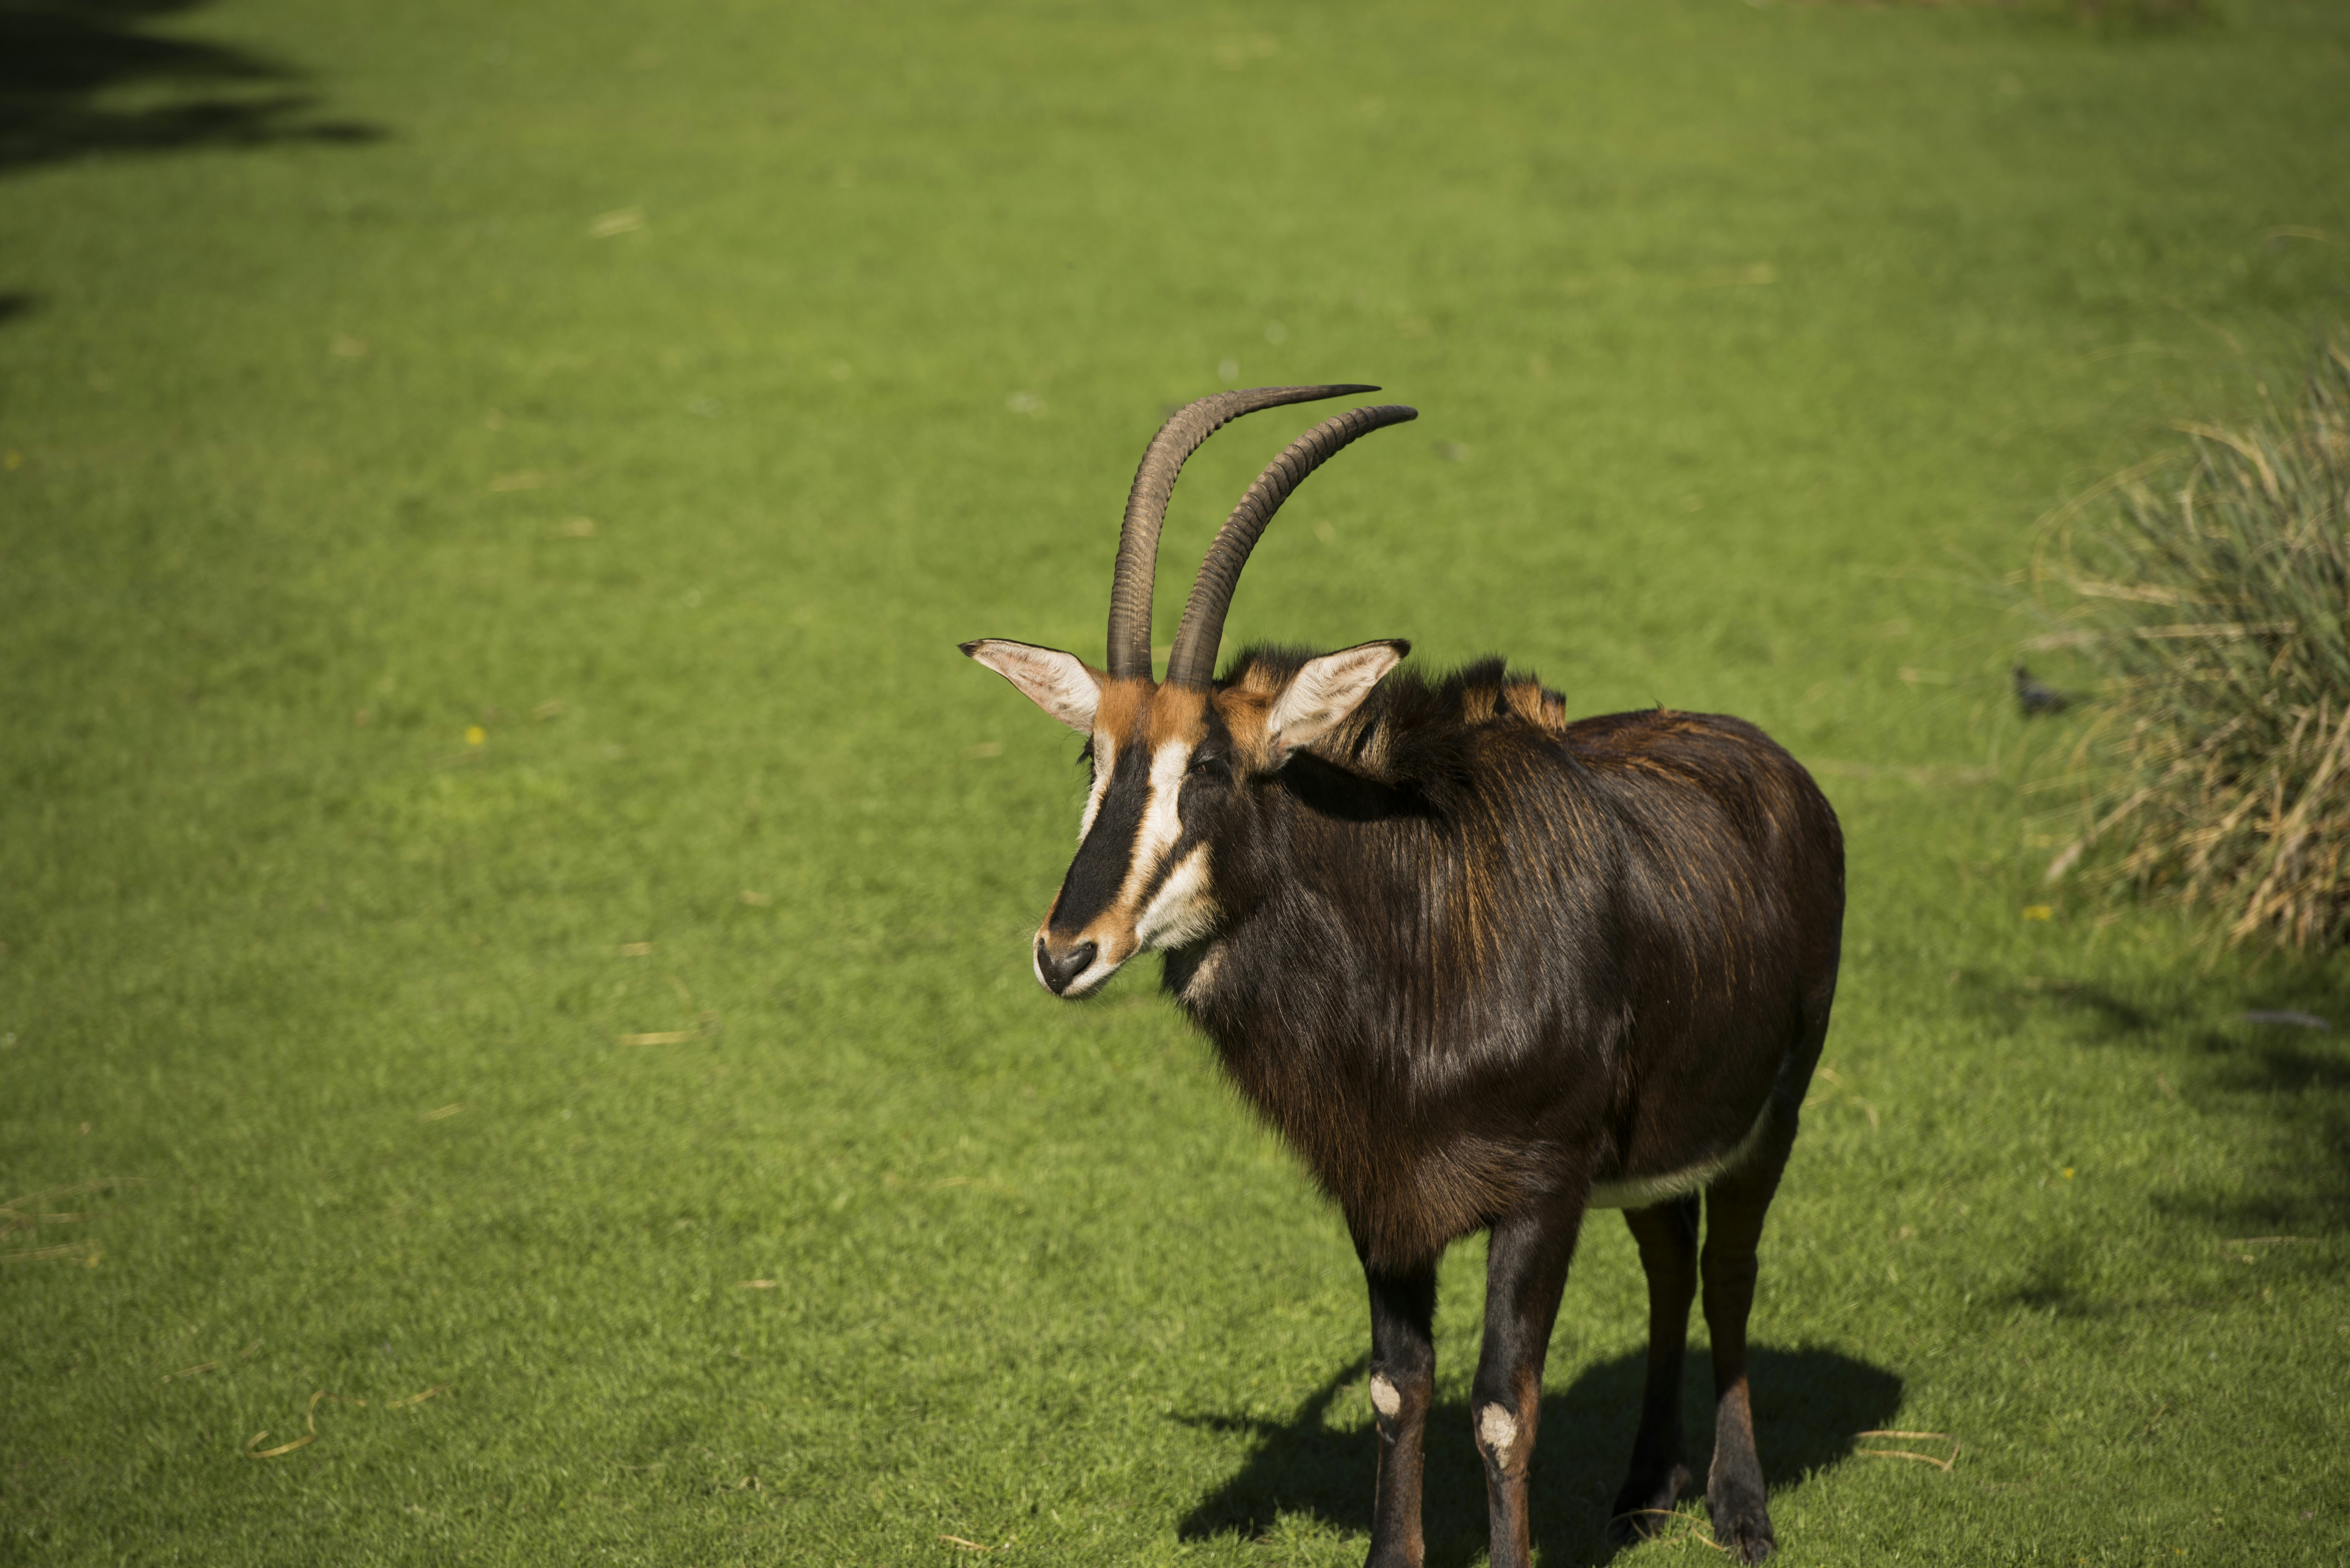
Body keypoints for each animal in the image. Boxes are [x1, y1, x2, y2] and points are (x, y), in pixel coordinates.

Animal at [963, 383, 1842, 1568]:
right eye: (1092, 757)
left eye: (1212, 765)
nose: (1067, 951)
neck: (1411, 941)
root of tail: (1778, 767)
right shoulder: (1381, 1200)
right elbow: (1397, 1386)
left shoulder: (1539, 1194)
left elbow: (1503, 1404)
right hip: (1652, 1149)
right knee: (1668, 1258)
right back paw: (1641, 1492)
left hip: (1765, 1122)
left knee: (1725, 1273)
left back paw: (1740, 1506)